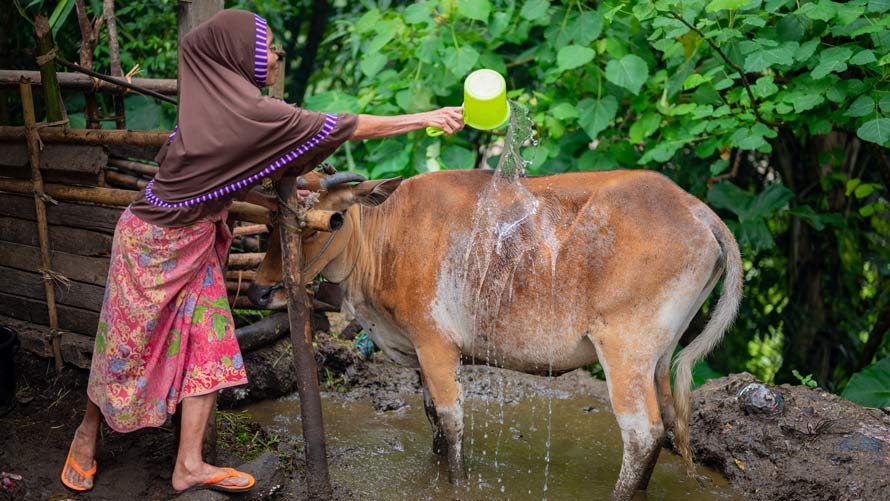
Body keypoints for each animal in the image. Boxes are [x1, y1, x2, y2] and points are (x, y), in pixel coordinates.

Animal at [246, 170, 740, 498]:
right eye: (270, 226)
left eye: (328, 222)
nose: (259, 289)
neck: (385, 238)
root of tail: (695, 208)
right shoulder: (420, 355)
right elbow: (431, 415)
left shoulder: (435, 344)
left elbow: (451, 418)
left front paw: (456, 482)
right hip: (657, 356)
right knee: (665, 424)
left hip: (625, 352)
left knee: (643, 433)